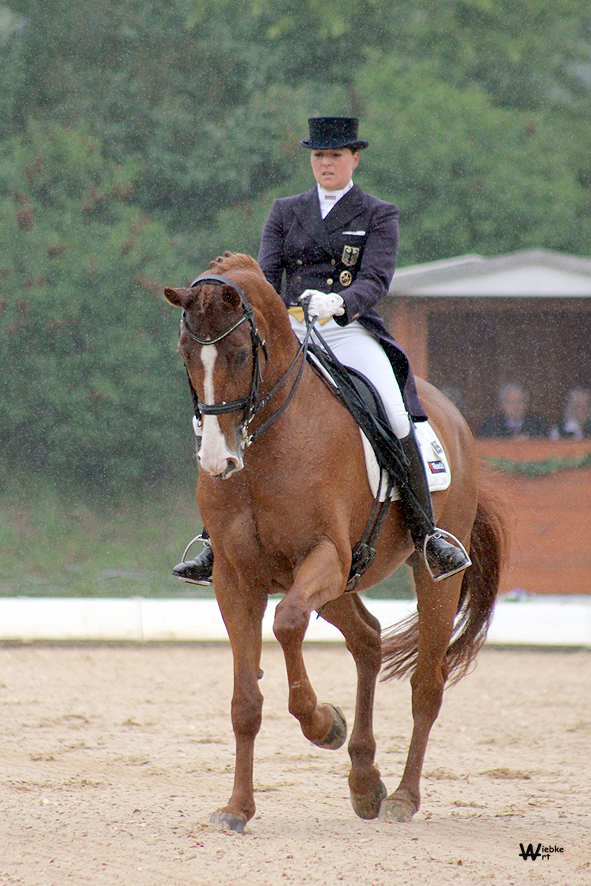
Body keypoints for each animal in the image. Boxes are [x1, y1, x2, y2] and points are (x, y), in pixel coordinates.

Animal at [165, 253, 508, 836]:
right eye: (187, 354)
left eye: (239, 354)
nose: (217, 460)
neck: (267, 442)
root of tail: (452, 416)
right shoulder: (235, 578)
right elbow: (245, 702)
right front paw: (237, 808)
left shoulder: (323, 557)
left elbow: (286, 623)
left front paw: (322, 723)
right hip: (343, 580)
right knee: (368, 639)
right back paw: (365, 782)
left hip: (429, 572)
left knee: (426, 684)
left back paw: (401, 798)